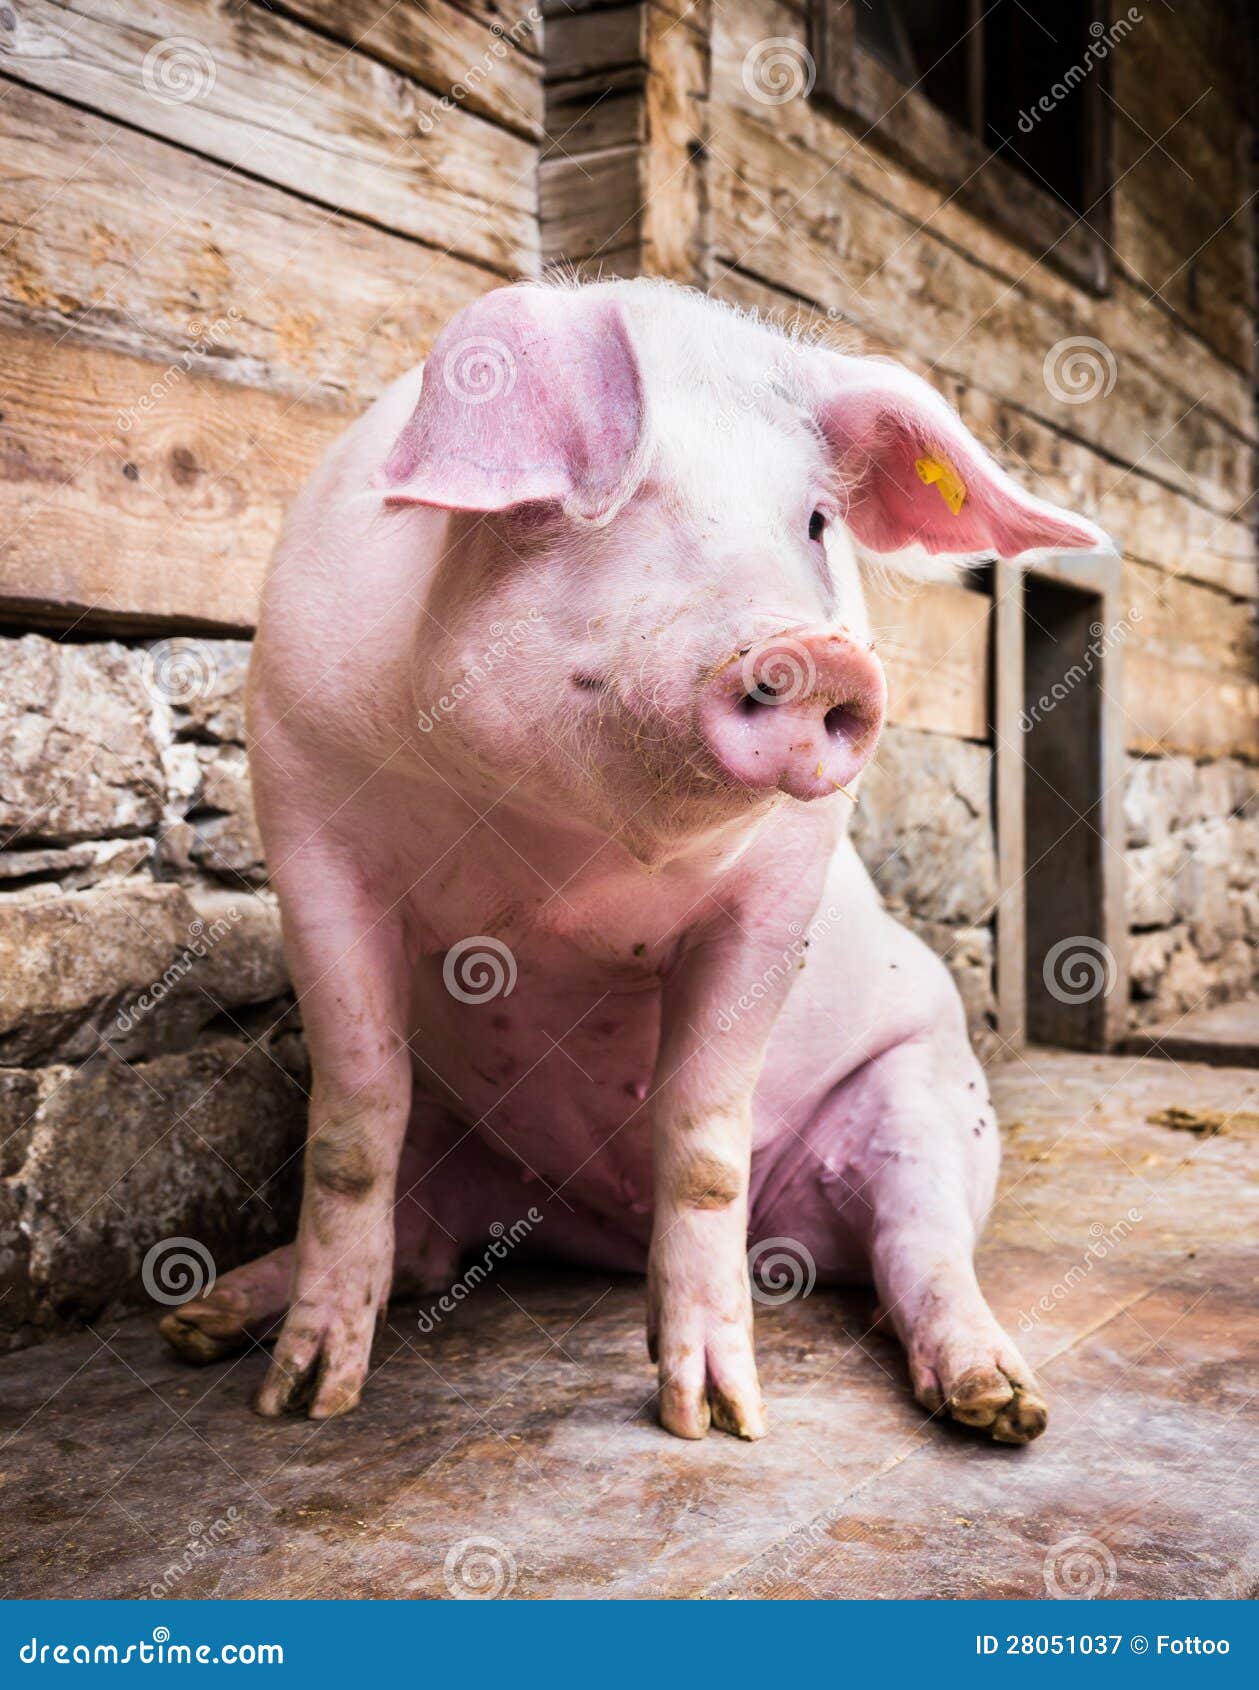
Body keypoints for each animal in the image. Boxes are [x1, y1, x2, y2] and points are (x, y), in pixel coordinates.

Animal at [160, 280, 1108, 1444]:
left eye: (813, 521)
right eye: (627, 499)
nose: (817, 655)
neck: (559, 856)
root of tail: (598, 1232)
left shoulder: (778, 892)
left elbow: (701, 1141)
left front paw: (717, 1423)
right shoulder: (305, 825)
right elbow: (350, 1124)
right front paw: (303, 1406)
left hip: (931, 1089)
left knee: (918, 1243)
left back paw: (1001, 1407)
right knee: (421, 1237)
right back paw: (199, 1322)